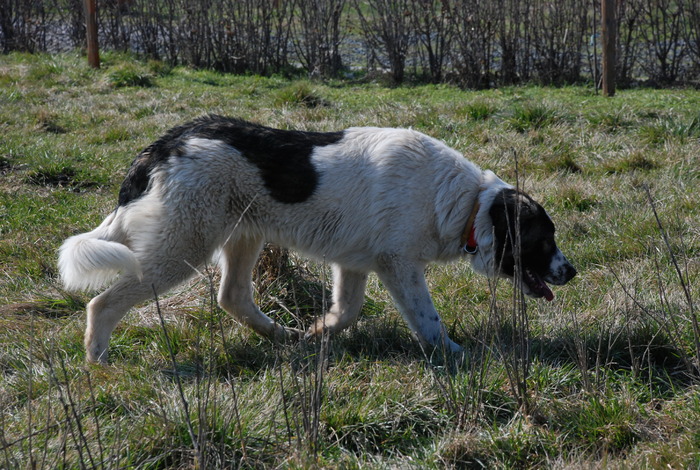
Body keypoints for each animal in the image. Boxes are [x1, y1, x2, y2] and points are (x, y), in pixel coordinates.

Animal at [58, 114, 576, 364]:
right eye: (543, 239)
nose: (571, 272)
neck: (463, 201)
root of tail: (166, 144)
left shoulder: (354, 264)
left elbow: (346, 312)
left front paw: (316, 334)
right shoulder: (401, 267)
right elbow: (428, 321)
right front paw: (457, 357)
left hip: (241, 237)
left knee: (233, 297)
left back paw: (283, 337)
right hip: (180, 250)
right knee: (101, 303)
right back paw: (98, 361)